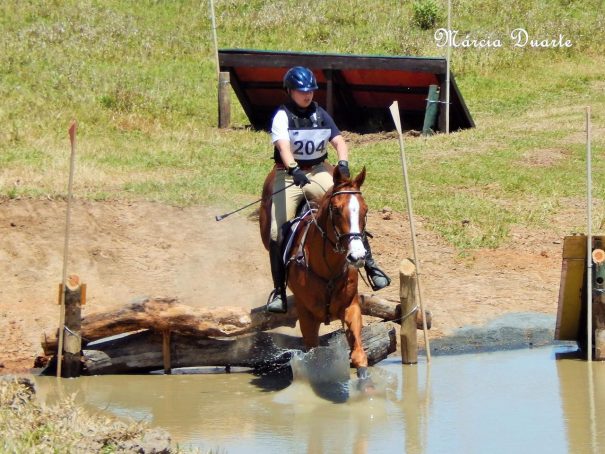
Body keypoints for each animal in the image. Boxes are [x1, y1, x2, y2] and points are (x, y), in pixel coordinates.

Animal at [258, 165, 370, 378]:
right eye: (336, 210)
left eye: (365, 210)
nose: (357, 256)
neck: (328, 269)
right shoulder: (307, 316)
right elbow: (315, 358)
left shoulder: (351, 307)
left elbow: (359, 355)